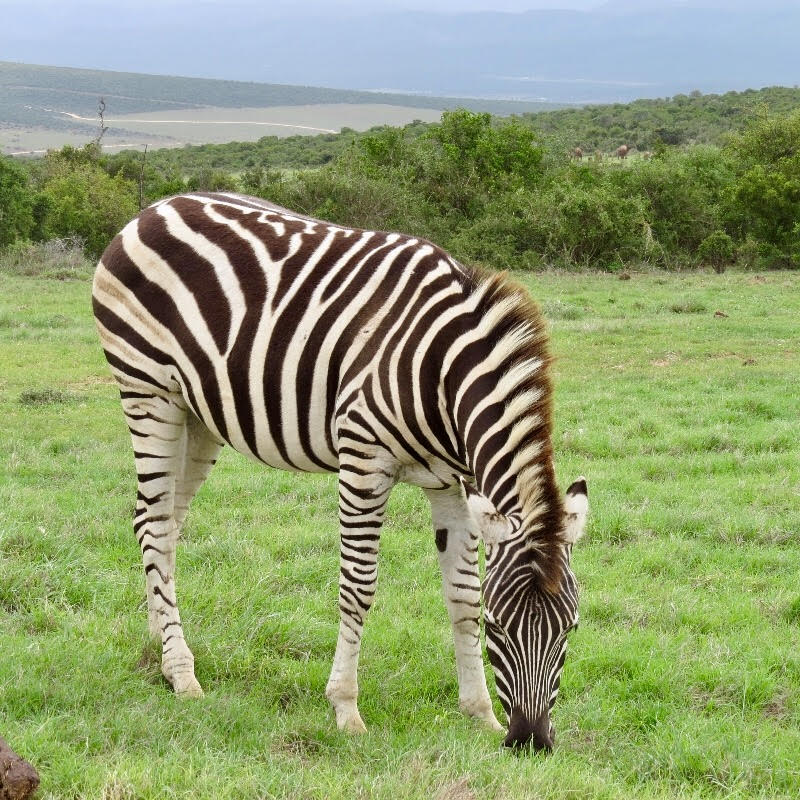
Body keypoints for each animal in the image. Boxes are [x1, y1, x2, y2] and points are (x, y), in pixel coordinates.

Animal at [92, 192, 588, 750]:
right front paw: (346, 708)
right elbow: (359, 588)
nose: (530, 740)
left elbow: (462, 595)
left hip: (198, 415)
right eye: (500, 628)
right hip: (147, 391)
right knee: (154, 523)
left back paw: (159, 643)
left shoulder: (452, 484)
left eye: (571, 629)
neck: (440, 374)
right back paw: (182, 674)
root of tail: (155, 207)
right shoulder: (363, 463)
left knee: (163, 524)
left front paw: (479, 713)